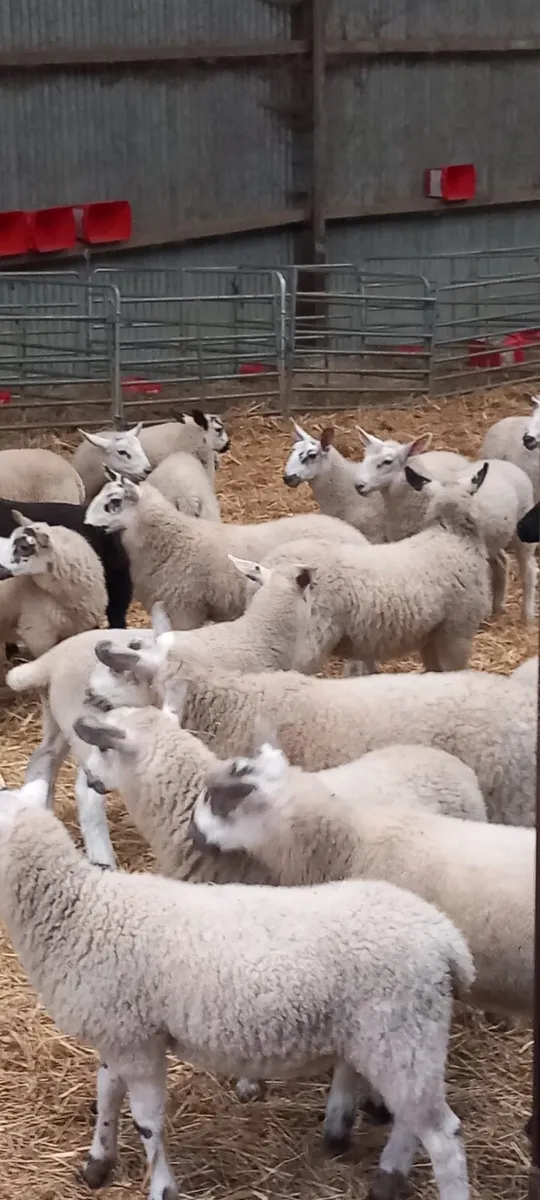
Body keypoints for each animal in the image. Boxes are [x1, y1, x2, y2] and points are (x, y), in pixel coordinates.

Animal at [0, 783, 473, 1200]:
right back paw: (388, 1176)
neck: (80, 910)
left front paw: (161, 1187)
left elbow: (147, 1122)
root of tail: (445, 937)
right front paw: (98, 1162)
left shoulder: (137, 1043)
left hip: (401, 1035)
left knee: (442, 1134)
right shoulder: (120, 1032)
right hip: (398, 1040)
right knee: (412, 1122)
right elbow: (106, 1094)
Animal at [354, 430, 537, 622]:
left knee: (529, 569)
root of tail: (507, 464)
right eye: (365, 456)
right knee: (502, 562)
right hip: (492, 539)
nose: (358, 485)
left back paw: (527, 616)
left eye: (387, 461)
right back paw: (496, 610)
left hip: (523, 531)